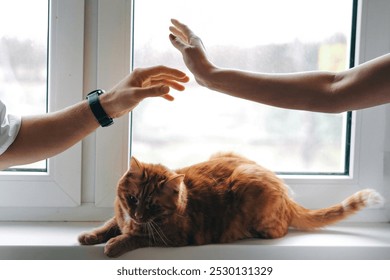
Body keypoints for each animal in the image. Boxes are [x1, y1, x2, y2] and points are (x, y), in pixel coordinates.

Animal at [77, 152, 382, 258]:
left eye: (152, 206)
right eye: (133, 199)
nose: (138, 214)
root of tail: (286, 195)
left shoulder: (172, 238)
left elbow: (136, 236)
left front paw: (115, 244)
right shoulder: (121, 215)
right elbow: (110, 224)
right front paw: (90, 235)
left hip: (250, 187)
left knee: (280, 229)